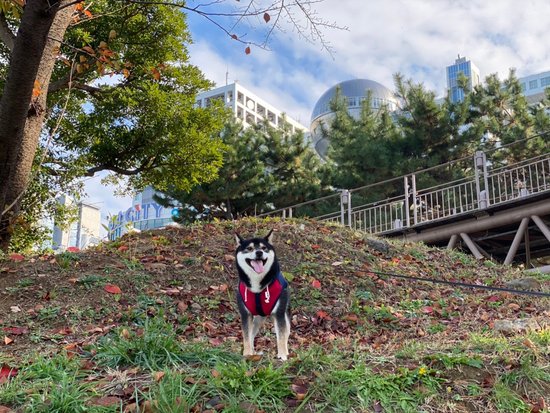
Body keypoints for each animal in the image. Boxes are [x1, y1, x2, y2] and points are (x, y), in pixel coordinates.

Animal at [234, 230, 292, 358]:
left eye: (264, 248)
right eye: (249, 248)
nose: (259, 252)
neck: (257, 287)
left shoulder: (279, 314)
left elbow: (281, 337)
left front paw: (282, 356)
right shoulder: (246, 314)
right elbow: (246, 336)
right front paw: (247, 353)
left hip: (282, 315)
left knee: (285, 333)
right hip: (257, 319)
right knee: (251, 335)